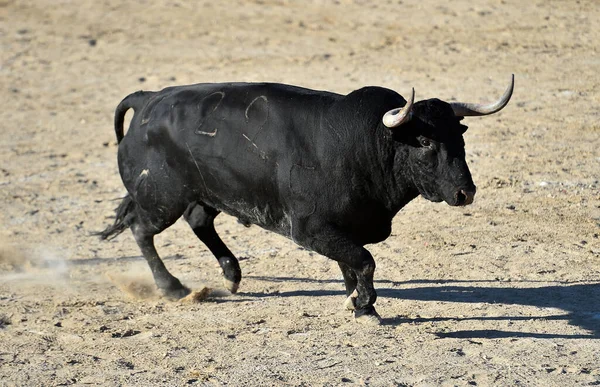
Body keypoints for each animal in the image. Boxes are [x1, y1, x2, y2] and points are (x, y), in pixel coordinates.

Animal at [98, 76, 510, 324]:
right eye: (424, 141)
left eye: (460, 134)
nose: (465, 193)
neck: (366, 144)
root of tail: (149, 99)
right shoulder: (311, 230)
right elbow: (364, 260)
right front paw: (364, 306)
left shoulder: (343, 228)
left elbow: (352, 263)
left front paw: (358, 303)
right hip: (161, 197)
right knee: (141, 228)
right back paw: (172, 287)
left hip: (206, 192)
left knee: (199, 220)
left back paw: (231, 276)